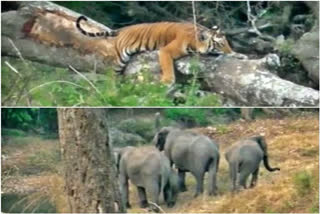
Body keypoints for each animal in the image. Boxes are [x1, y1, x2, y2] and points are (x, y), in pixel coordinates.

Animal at [76, 15, 234, 84]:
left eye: (228, 43)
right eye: (221, 44)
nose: (231, 52)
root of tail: (124, 28)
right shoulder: (165, 51)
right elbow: (168, 66)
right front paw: (168, 81)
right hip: (120, 60)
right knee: (112, 75)